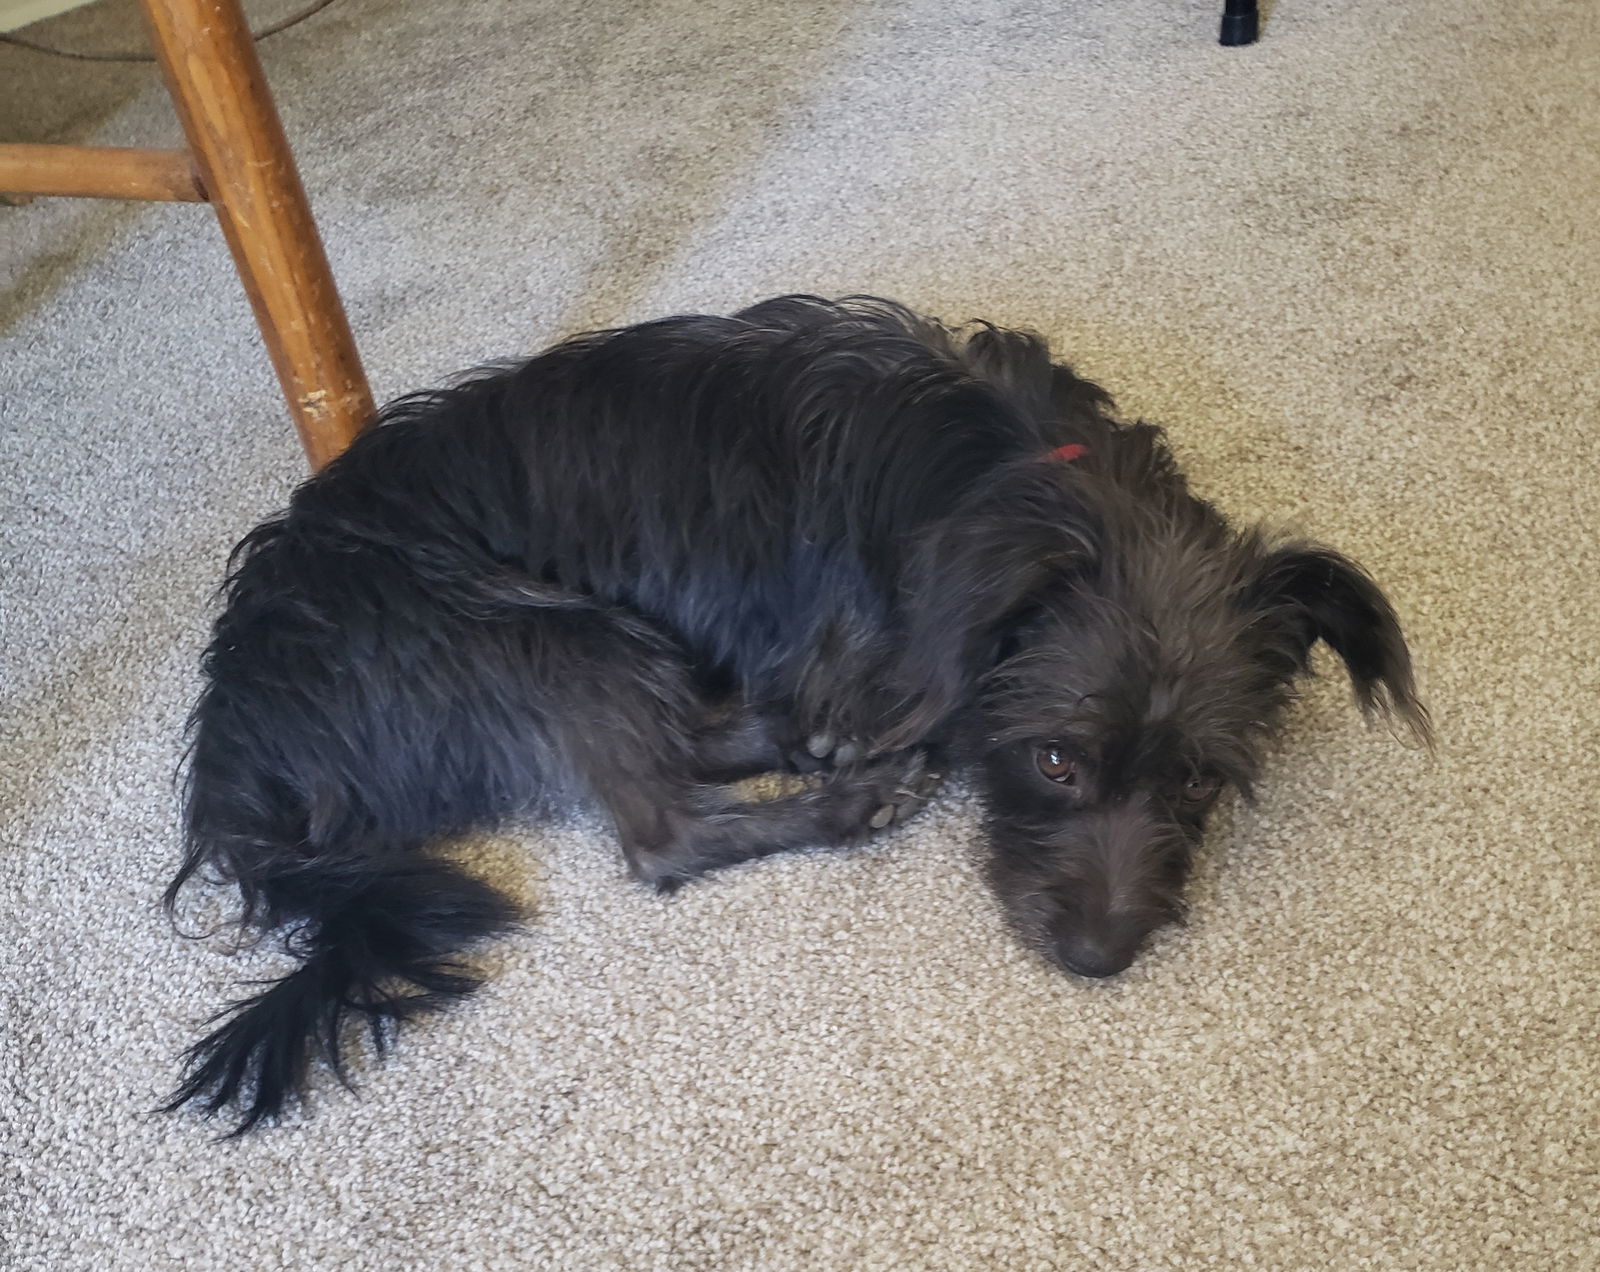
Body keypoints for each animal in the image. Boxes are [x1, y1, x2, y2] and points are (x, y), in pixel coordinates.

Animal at [168, 292, 1433, 1126]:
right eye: (1056, 763)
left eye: (1198, 779)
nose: (1097, 958)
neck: (1017, 485)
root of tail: (238, 744)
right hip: (538, 631)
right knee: (661, 829)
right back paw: (848, 791)